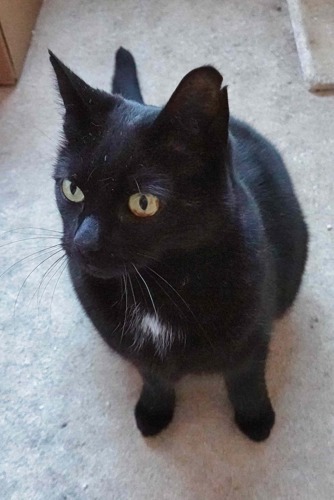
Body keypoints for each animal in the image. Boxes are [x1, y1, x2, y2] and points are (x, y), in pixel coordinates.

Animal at [49, 47, 308, 442]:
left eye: (143, 203)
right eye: (71, 189)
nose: (83, 243)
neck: (158, 284)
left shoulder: (253, 336)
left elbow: (246, 379)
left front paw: (256, 419)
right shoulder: (138, 351)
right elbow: (155, 378)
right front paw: (154, 412)